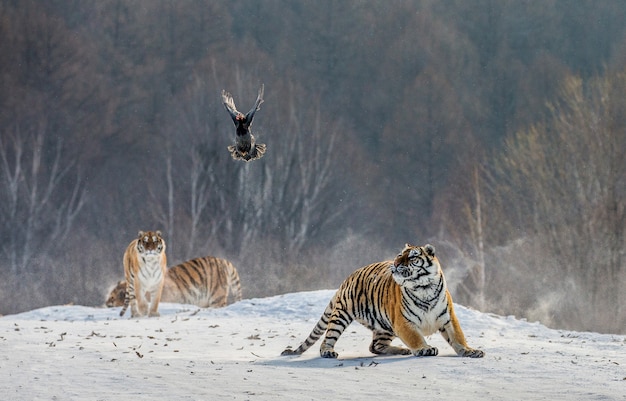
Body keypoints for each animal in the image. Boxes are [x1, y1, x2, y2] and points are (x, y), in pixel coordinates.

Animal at [282, 242, 482, 358]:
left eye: (412, 257)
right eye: (399, 255)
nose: (396, 264)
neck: (423, 287)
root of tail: (347, 278)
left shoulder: (448, 318)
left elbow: (458, 337)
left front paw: (470, 351)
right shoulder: (404, 322)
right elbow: (415, 338)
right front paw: (424, 349)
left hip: (384, 327)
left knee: (375, 346)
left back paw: (401, 350)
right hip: (341, 316)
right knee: (328, 338)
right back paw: (328, 352)